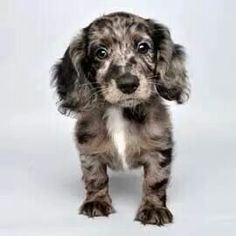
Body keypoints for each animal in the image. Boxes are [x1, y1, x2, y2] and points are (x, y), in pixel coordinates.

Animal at [51, 12, 190, 226]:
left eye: (143, 47)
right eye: (101, 53)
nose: (128, 83)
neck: (121, 111)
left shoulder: (159, 147)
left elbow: (155, 180)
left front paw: (153, 208)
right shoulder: (89, 147)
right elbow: (95, 176)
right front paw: (96, 201)